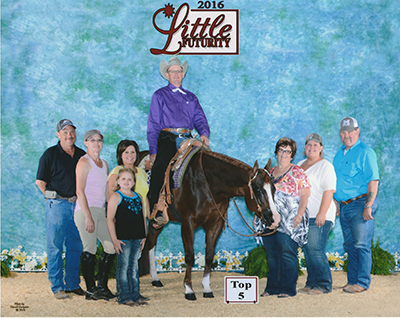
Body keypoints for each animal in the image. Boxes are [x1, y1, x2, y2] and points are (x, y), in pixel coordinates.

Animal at [145, 148, 280, 300]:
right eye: (257, 190)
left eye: (273, 189)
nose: (275, 219)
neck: (206, 184)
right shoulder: (188, 223)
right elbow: (189, 256)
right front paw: (189, 289)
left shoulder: (215, 224)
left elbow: (209, 255)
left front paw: (207, 288)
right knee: (150, 241)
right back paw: (155, 278)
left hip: (157, 223)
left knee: (151, 241)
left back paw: (155, 279)